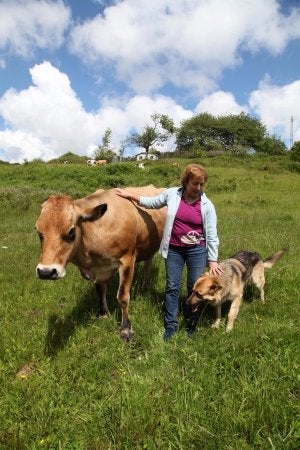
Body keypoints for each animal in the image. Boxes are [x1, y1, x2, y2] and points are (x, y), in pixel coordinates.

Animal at [35, 185, 166, 340]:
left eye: (71, 232)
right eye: (38, 232)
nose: (46, 272)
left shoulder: (127, 260)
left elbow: (122, 296)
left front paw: (126, 329)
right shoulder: (99, 269)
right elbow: (100, 290)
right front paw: (104, 314)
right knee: (148, 261)